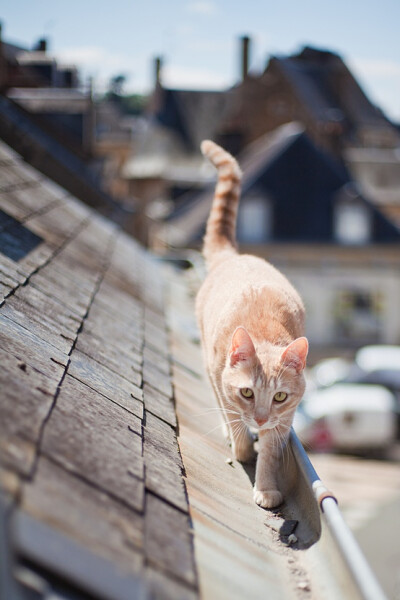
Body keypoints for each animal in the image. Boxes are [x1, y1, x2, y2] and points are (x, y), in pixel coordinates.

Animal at [195, 139, 308, 506]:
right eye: (247, 392)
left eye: (280, 397)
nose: (260, 418)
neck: (265, 334)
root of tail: (234, 256)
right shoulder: (222, 383)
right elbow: (234, 420)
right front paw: (243, 449)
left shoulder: (283, 420)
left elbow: (271, 454)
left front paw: (266, 488)